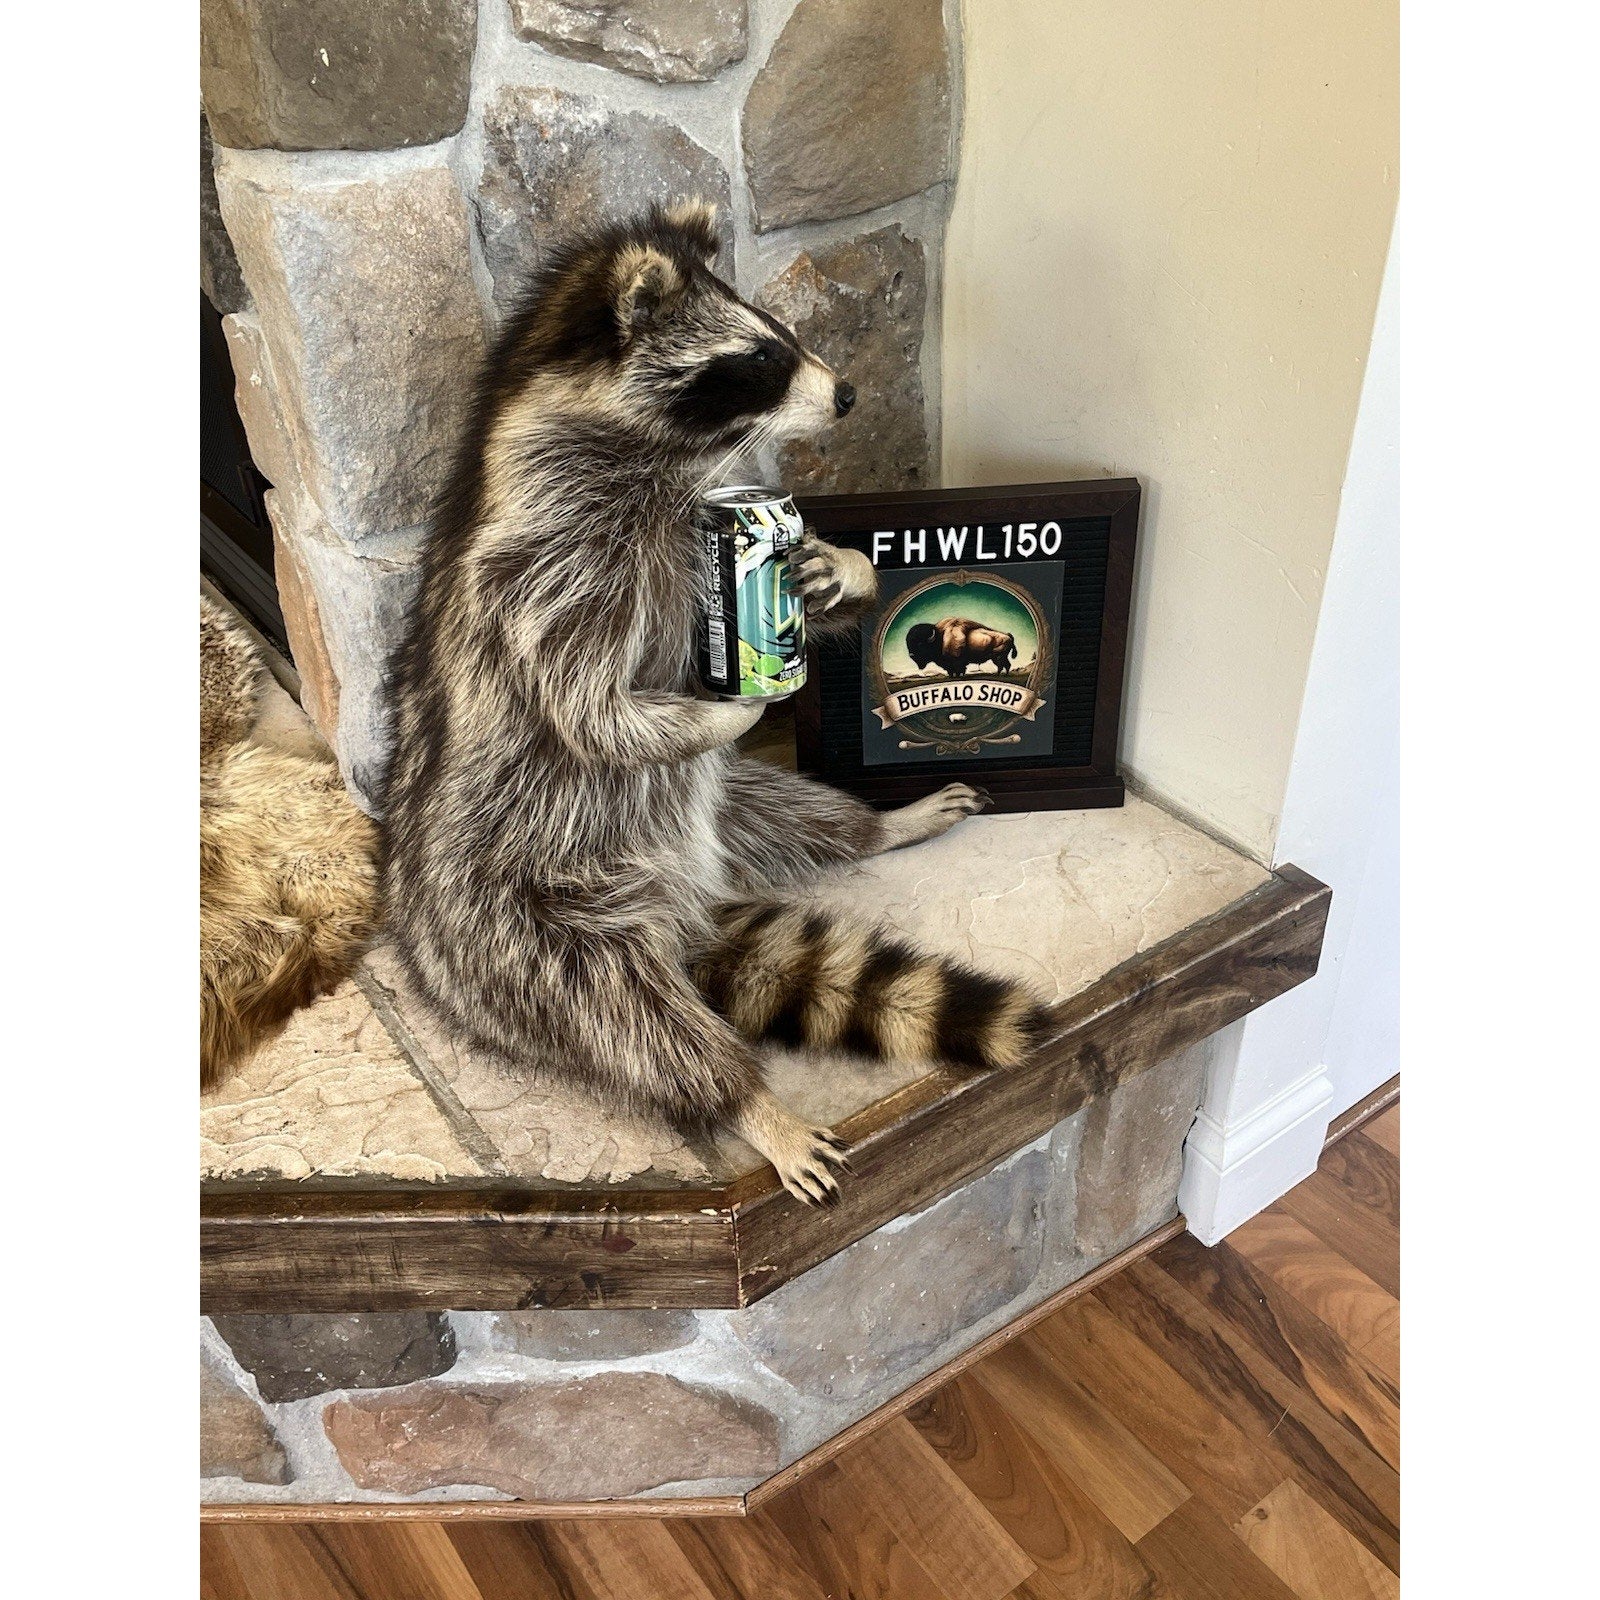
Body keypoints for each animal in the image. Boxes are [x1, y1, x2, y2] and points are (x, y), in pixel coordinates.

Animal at [380, 202, 1049, 1203]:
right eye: (760, 360)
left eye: (786, 335)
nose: (846, 394)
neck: (654, 460)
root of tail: (679, 917)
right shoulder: (541, 564)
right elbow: (589, 709)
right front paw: (733, 707)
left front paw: (841, 568)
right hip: (515, 922)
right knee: (623, 1013)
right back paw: (744, 1098)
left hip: (718, 812)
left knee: (781, 810)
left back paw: (878, 826)